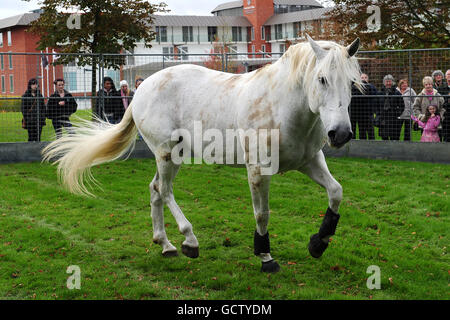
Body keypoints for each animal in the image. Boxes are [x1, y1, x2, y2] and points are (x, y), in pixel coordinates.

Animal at [43, 36, 362, 274]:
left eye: (351, 83)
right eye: (322, 79)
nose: (341, 133)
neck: (282, 105)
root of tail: (141, 90)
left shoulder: (309, 162)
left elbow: (336, 192)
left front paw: (318, 243)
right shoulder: (258, 170)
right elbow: (262, 214)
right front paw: (266, 257)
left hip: (174, 154)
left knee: (154, 189)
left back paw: (166, 244)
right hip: (167, 153)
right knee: (164, 190)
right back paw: (189, 241)